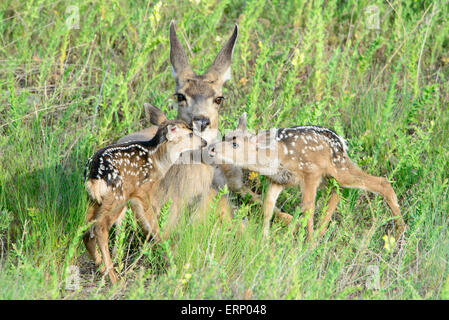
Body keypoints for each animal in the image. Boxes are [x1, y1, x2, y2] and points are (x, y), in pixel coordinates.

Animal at [82, 120, 205, 282]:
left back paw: (103, 269)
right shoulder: (143, 191)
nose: (204, 142)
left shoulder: (132, 197)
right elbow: (152, 222)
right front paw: (166, 252)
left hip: (94, 200)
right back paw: (114, 278)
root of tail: (94, 176)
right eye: (190, 134)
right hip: (116, 196)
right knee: (100, 229)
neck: (158, 160)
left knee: (86, 231)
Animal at [207, 112, 406, 240]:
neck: (274, 158)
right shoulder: (278, 180)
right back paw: (321, 231)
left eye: (235, 144)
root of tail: (341, 142)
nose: (211, 148)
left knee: (381, 182)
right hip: (332, 176)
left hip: (338, 168)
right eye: (224, 136)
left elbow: (307, 207)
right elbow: (268, 207)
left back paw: (400, 230)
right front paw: (264, 239)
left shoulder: (310, 171)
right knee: (339, 192)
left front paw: (307, 242)